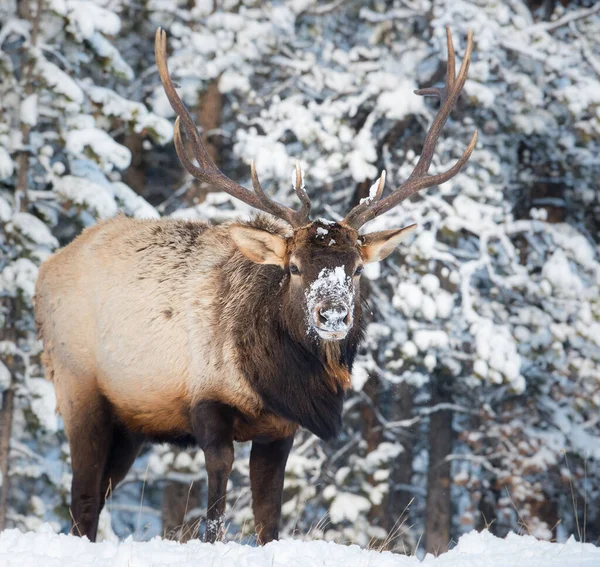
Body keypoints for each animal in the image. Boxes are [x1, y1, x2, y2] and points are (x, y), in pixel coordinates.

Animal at [34, 27, 478, 544]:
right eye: (294, 267)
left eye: (356, 269)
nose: (332, 314)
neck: (272, 378)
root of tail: (45, 272)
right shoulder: (207, 403)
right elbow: (214, 512)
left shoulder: (280, 429)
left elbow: (269, 519)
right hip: (77, 385)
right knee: (82, 498)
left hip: (130, 421)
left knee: (97, 495)